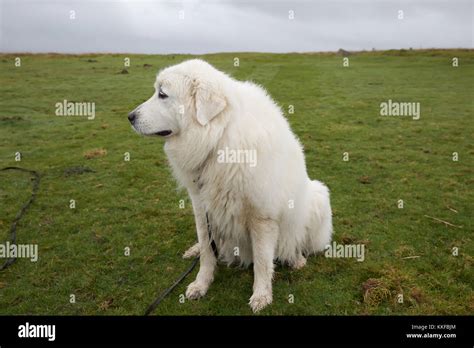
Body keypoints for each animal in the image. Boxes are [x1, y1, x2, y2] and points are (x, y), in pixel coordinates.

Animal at [128, 59, 332, 312]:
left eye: (162, 94)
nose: (130, 116)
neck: (218, 139)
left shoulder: (261, 216)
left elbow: (262, 261)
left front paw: (261, 295)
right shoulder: (201, 206)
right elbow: (207, 251)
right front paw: (201, 284)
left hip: (317, 196)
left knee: (296, 241)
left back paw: (296, 258)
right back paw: (194, 250)